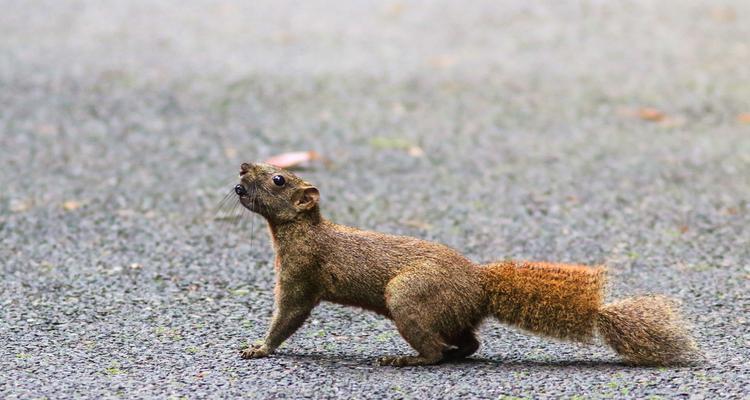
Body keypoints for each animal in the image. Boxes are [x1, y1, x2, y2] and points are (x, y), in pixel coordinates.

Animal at [232, 162, 704, 366]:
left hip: (408, 296)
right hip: (448, 312)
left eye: (278, 178)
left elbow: (289, 315)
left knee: (434, 350)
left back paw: (406, 360)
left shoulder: (301, 273)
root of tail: (479, 282)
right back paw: (455, 351)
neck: (300, 233)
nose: (241, 168)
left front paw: (258, 348)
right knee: (468, 341)